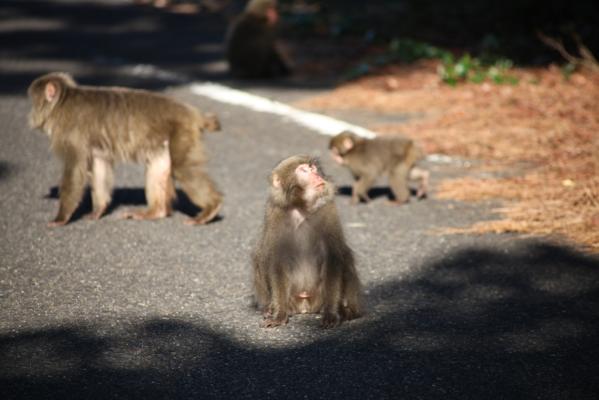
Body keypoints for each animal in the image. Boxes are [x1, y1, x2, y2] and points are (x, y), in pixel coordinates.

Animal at [26, 72, 223, 227]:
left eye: (33, 102)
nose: (30, 116)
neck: (62, 103)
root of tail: (194, 113)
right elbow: (100, 166)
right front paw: (98, 210)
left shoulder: (71, 134)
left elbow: (74, 170)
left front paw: (61, 218)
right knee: (157, 166)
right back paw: (155, 212)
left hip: (182, 132)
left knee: (183, 167)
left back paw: (211, 208)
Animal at [251, 155, 364, 328]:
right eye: (303, 170)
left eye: (313, 169)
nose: (317, 177)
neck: (301, 208)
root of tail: (305, 307)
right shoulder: (274, 214)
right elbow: (276, 260)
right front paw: (279, 314)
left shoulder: (328, 211)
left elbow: (333, 257)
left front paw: (332, 314)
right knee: (260, 254)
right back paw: (270, 308)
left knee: (345, 255)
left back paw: (347, 311)